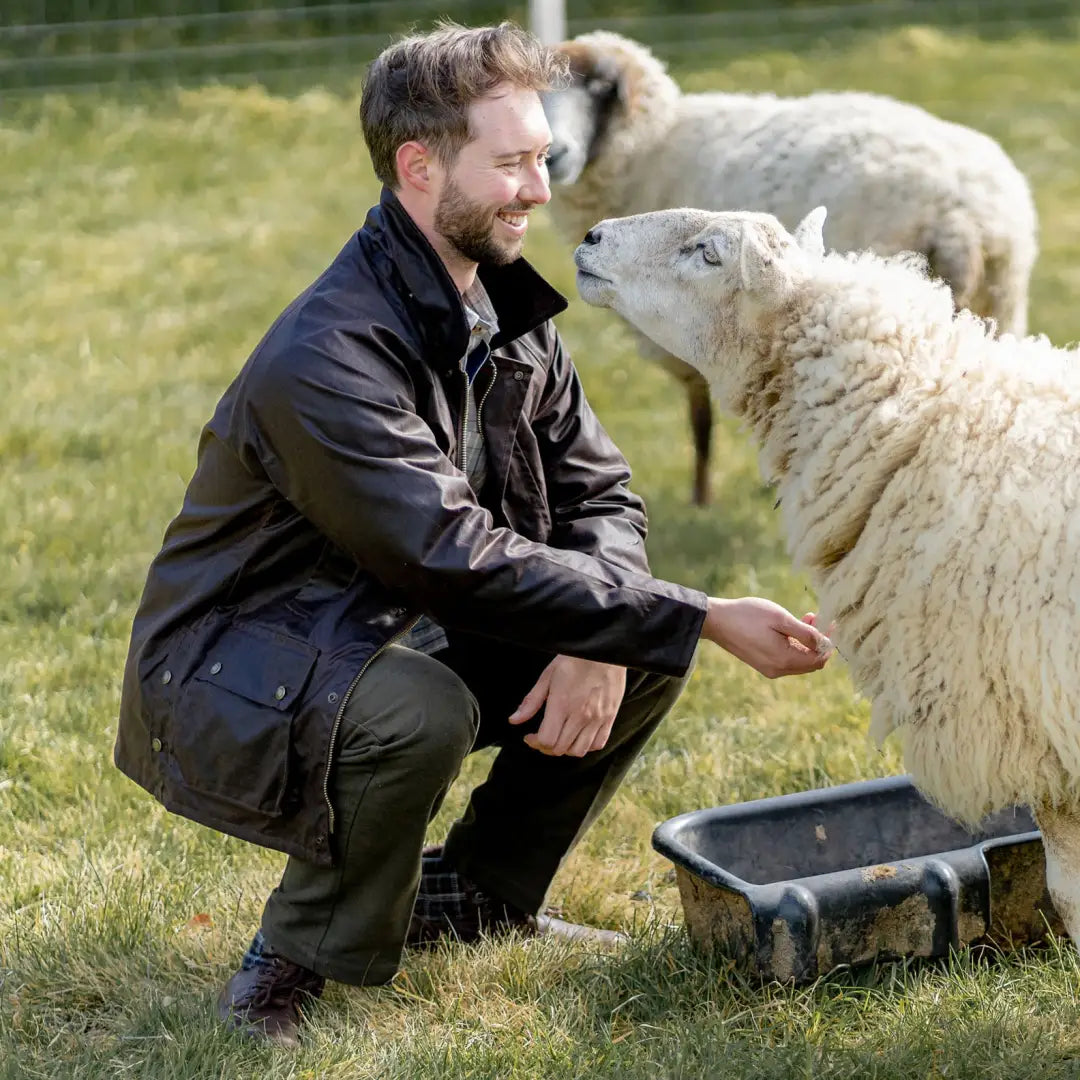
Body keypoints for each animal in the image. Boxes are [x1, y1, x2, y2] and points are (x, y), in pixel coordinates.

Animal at [544, 28, 1041, 509]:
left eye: (601, 88)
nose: (552, 155)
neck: (655, 144)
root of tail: (963, 215)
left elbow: (700, 417)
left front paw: (701, 499)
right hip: (1002, 301)